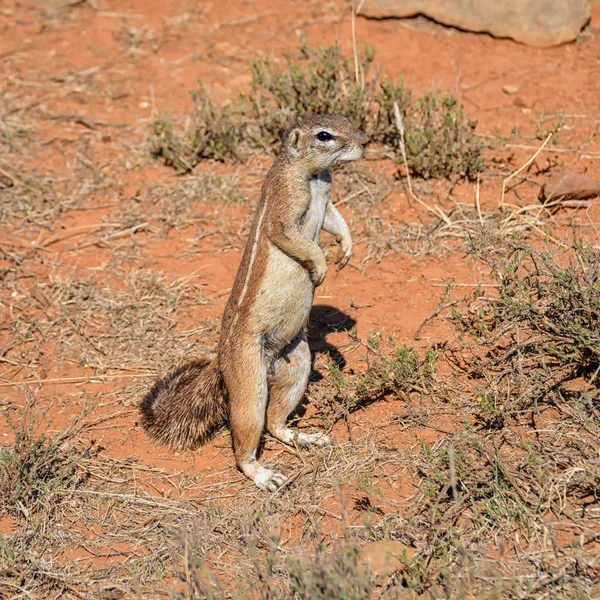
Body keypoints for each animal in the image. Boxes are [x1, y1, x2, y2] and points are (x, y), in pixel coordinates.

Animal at [141, 115, 368, 490]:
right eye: (325, 135)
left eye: (346, 120)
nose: (364, 142)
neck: (312, 175)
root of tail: (221, 362)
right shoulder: (285, 204)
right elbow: (292, 237)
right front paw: (320, 268)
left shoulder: (328, 199)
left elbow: (336, 220)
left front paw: (347, 248)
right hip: (249, 382)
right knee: (246, 438)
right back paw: (263, 474)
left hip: (297, 364)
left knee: (275, 423)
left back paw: (303, 437)